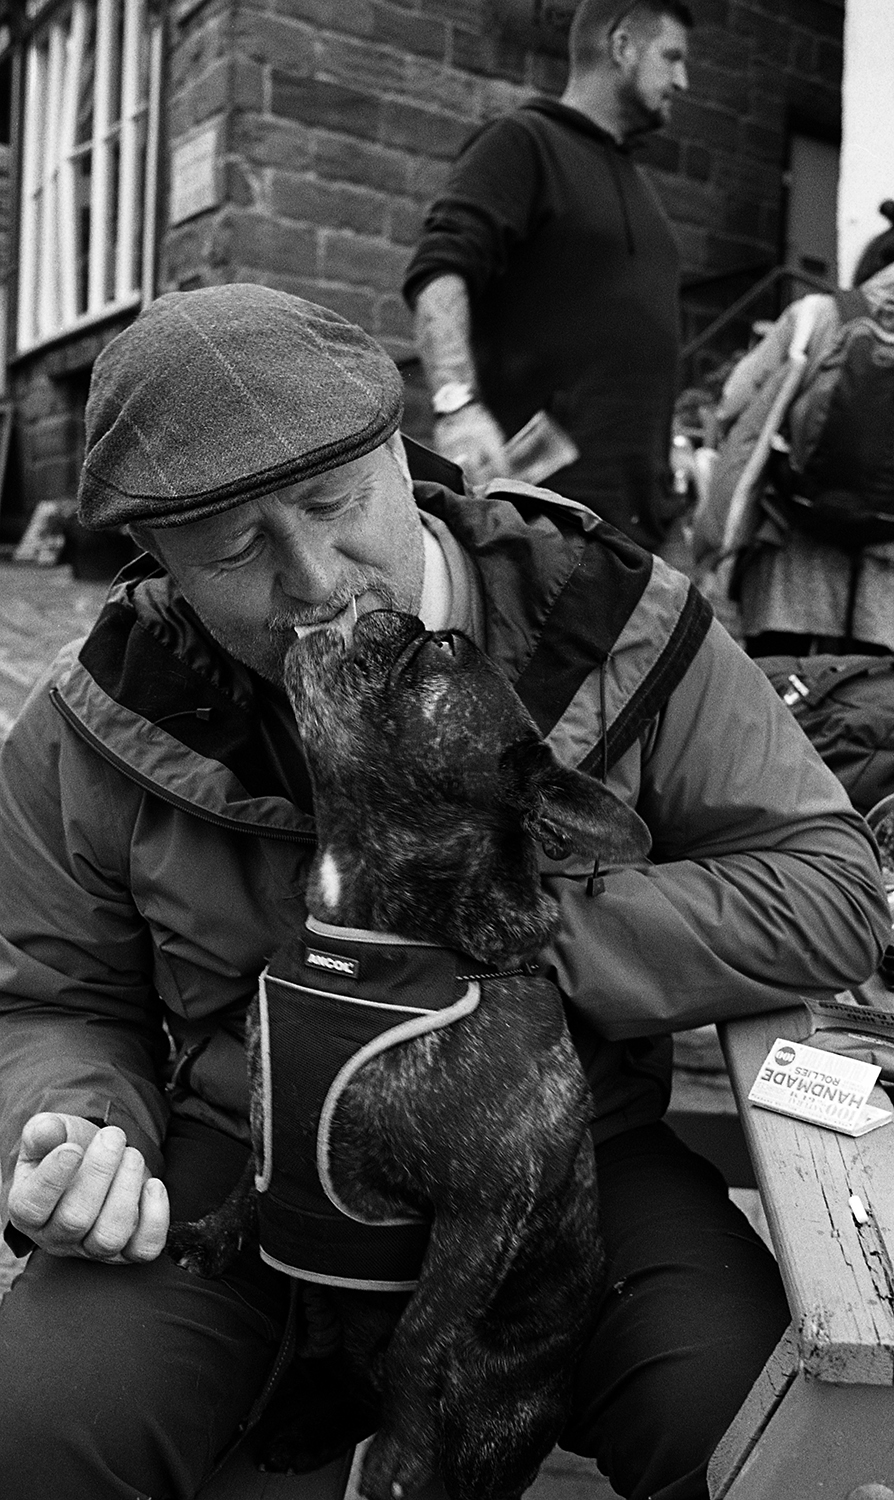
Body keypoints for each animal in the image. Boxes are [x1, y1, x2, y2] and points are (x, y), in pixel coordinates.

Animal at [168, 609, 645, 1500]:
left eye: (443, 649)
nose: (407, 615)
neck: (375, 943)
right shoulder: (268, 1115)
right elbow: (248, 1183)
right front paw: (212, 1237)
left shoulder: (479, 1215)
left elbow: (421, 1337)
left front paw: (400, 1452)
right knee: (338, 1358)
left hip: (498, 1413)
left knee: (403, 1377)